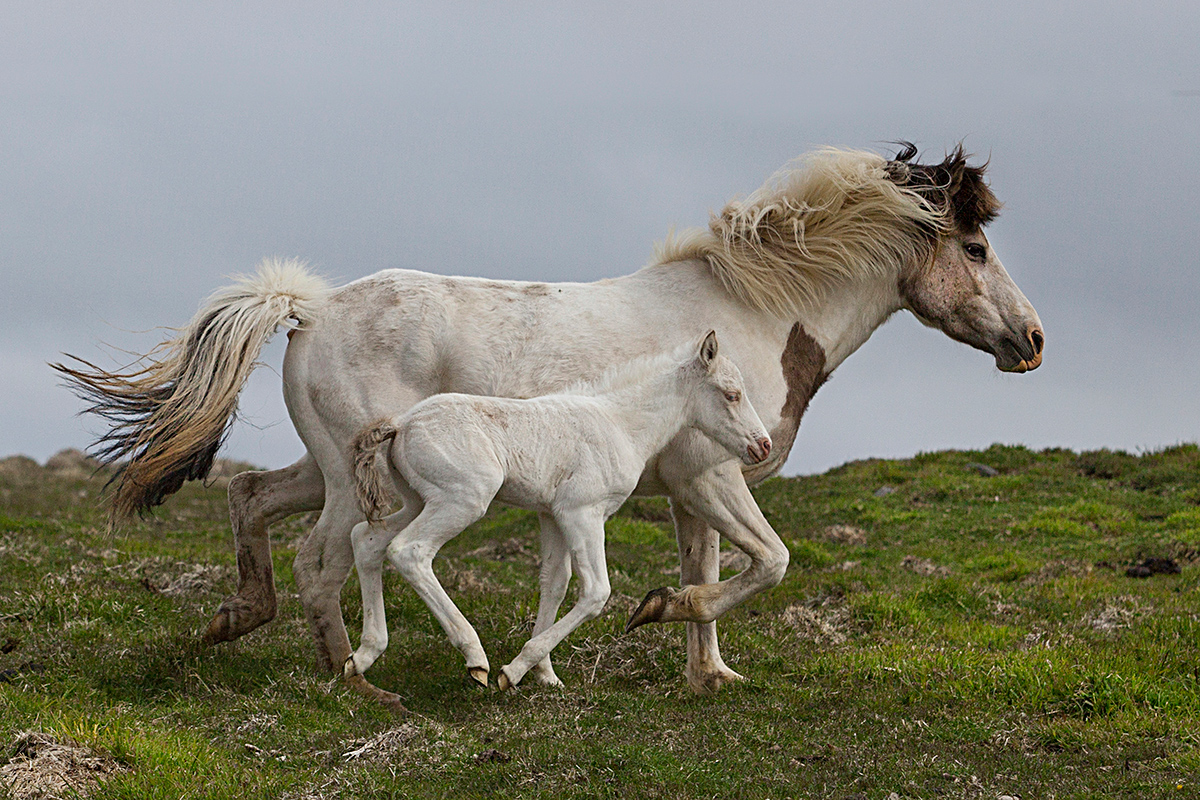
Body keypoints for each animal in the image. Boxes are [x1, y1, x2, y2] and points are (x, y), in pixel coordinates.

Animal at [343, 331, 768, 695]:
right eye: (732, 394)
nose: (762, 446)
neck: (620, 424)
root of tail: (401, 423)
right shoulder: (583, 512)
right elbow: (596, 591)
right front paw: (513, 670)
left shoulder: (552, 515)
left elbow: (555, 583)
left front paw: (545, 674)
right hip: (463, 498)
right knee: (409, 551)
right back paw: (475, 657)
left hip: (419, 500)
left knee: (366, 541)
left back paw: (361, 657)